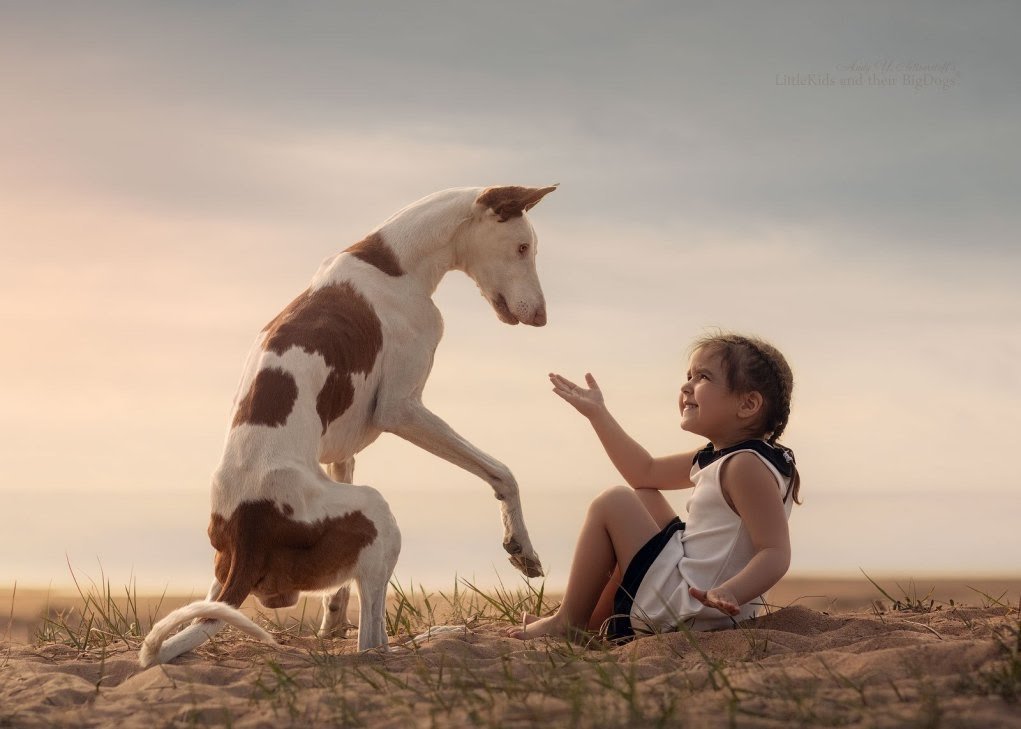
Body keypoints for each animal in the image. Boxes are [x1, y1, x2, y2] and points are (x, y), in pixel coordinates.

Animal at [138, 182, 555, 665]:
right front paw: (521, 546)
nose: (542, 318)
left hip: (230, 572)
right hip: (378, 510)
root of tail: (247, 533)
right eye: (522, 247)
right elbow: (503, 472)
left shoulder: (342, 452)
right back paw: (439, 633)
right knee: (374, 644)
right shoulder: (401, 409)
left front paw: (331, 622)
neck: (394, 262)